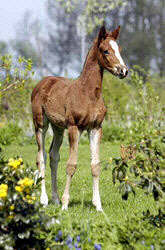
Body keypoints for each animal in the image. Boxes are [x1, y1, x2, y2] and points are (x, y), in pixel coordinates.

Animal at [31, 24, 128, 211]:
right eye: (105, 50)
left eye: (119, 49)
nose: (123, 71)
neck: (88, 94)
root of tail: (43, 82)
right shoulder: (74, 127)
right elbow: (71, 165)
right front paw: (65, 204)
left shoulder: (96, 128)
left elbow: (95, 165)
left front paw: (98, 206)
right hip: (40, 125)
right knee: (41, 158)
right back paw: (44, 200)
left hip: (58, 128)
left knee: (53, 156)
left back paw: (54, 198)